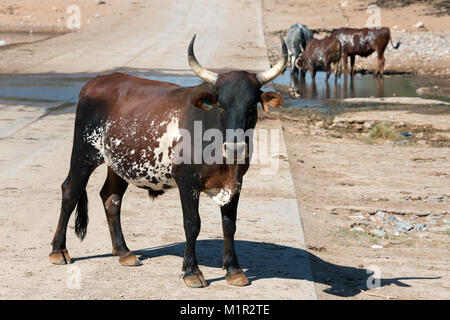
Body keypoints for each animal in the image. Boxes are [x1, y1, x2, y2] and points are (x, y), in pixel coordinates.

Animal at [49, 34, 288, 288]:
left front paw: (234, 270)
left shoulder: (235, 182)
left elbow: (229, 224)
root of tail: (94, 82)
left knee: (111, 198)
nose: (235, 147)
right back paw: (58, 250)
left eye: (252, 106)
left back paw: (124, 252)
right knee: (70, 191)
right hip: (84, 154)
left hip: (120, 164)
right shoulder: (187, 181)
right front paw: (192, 271)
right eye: (222, 105)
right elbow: (192, 223)